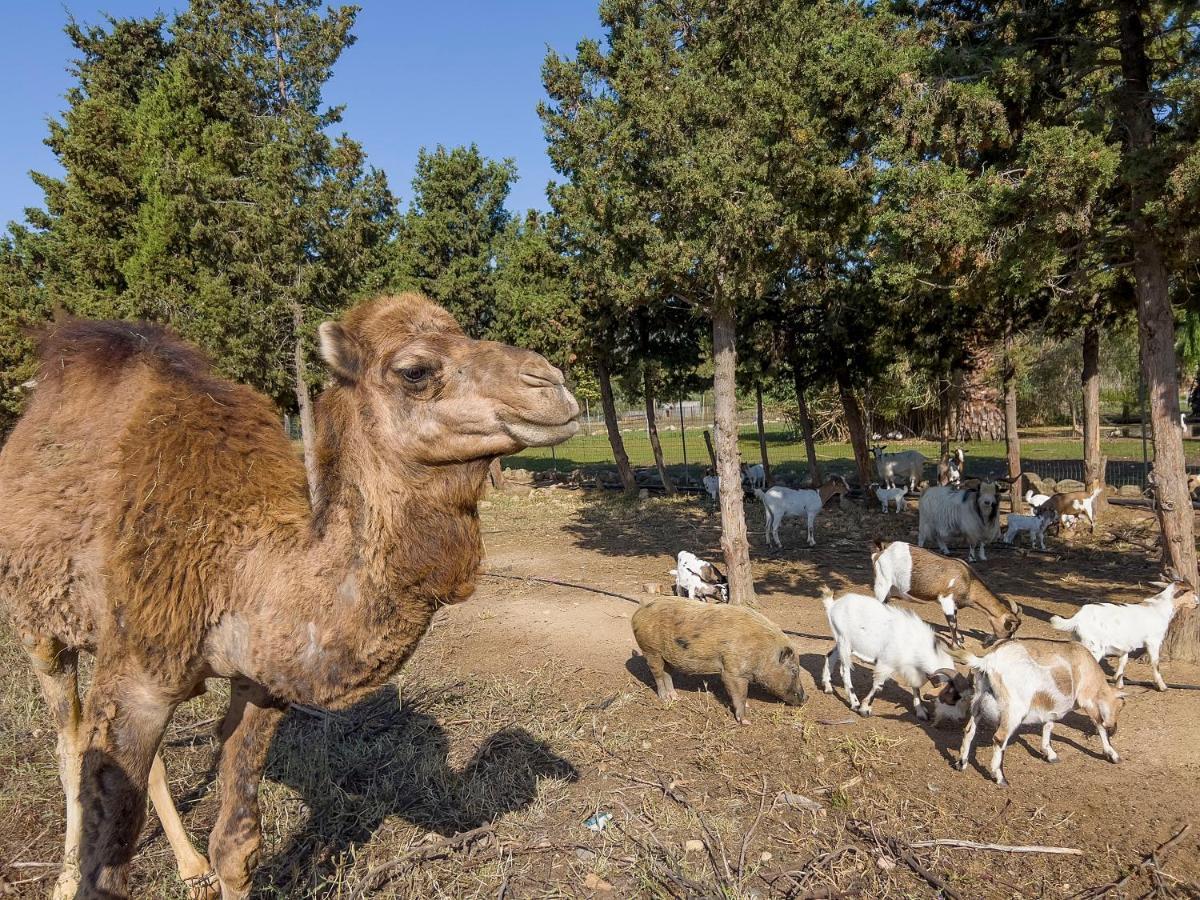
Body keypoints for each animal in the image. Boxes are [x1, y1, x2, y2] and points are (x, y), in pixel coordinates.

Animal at [0, 296, 576, 900]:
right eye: (414, 370)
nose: (552, 383)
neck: (238, 564)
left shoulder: (260, 679)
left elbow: (236, 847)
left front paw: (213, 864)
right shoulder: (141, 675)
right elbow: (106, 870)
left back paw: (190, 867)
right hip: (37, 629)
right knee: (69, 741)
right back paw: (64, 878)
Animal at [820, 588, 960, 724]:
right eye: (951, 699)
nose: (954, 718)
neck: (916, 643)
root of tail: (833, 605)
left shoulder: (913, 669)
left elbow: (916, 688)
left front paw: (921, 711)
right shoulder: (886, 663)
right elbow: (878, 686)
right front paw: (865, 709)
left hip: (842, 643)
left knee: (830, 656)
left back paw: (828, 687)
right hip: (844, 641)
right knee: (844, 671)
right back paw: (854, 703)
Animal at [873, 542, 1022, 648]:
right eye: (1010, 628)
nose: (1008, 642)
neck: (968, 580)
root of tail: (881, 551)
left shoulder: (954, 604)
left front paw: (961, 639)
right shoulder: (946, 600)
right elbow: (952, 622)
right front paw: (956, 645)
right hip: (882, 583)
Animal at [945, 643, 1123, 787]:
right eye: (1120, 707)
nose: (1114, 728)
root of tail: (988, 662)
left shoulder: (1050, 708)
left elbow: (1049, 725)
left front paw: (1049, 754)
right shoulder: (1087, 699)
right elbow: (1099, 724)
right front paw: (1113, 755)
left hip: (977, 702)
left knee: (969, 730)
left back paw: (961, 764)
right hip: (1013, 710)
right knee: (999, 739)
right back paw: (1000, 778)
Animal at [1051, 578, 1200, 691]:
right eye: (1192, 592)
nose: (1197, 604)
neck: (1159, 609)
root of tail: (1079, 617)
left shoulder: (1124, 646)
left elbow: (1123, 662)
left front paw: (1118, 683)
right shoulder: (1153, 641)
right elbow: (1155, 663)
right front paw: (1163, 687)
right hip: (1094, 648)